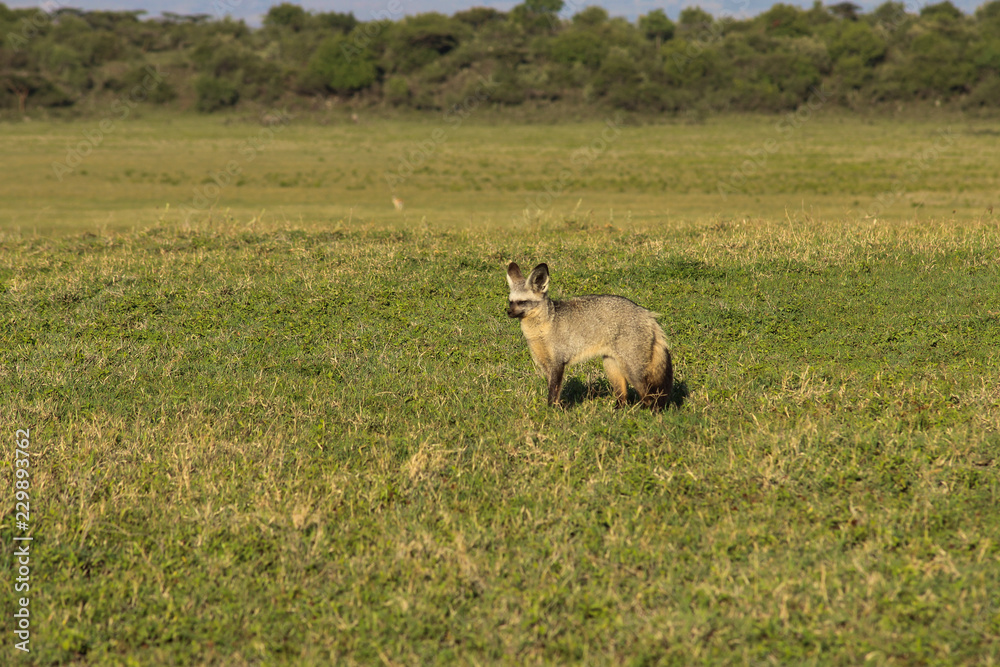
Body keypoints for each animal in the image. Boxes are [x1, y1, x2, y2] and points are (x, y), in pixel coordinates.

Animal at [506, 262, 673, 410]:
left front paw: (551, 412)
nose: (508, 312)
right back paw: (618, 411)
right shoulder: (545, 365)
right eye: (510, 302)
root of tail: (646, 313)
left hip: (634, 371)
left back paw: (650, 413)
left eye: (522, 302)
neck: (542, 329)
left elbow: (553, 393)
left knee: (650, 396)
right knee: (623, 397)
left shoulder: (558, 363)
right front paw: (555, 409)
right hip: (612, 366)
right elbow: (552, 391)